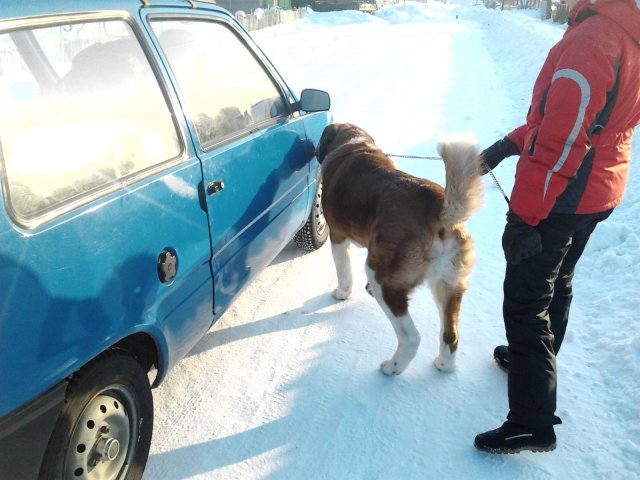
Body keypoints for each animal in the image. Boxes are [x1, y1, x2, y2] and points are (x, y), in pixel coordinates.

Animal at [316, 123, 483, 375]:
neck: (354, 143)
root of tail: (437, 208)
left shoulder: (337, 236)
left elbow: (342, 270)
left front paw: (342, 293)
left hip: (382, 279)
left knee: (411, 337)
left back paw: (392, 367)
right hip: (448, 284)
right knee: (450, 335)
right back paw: (444, 365)